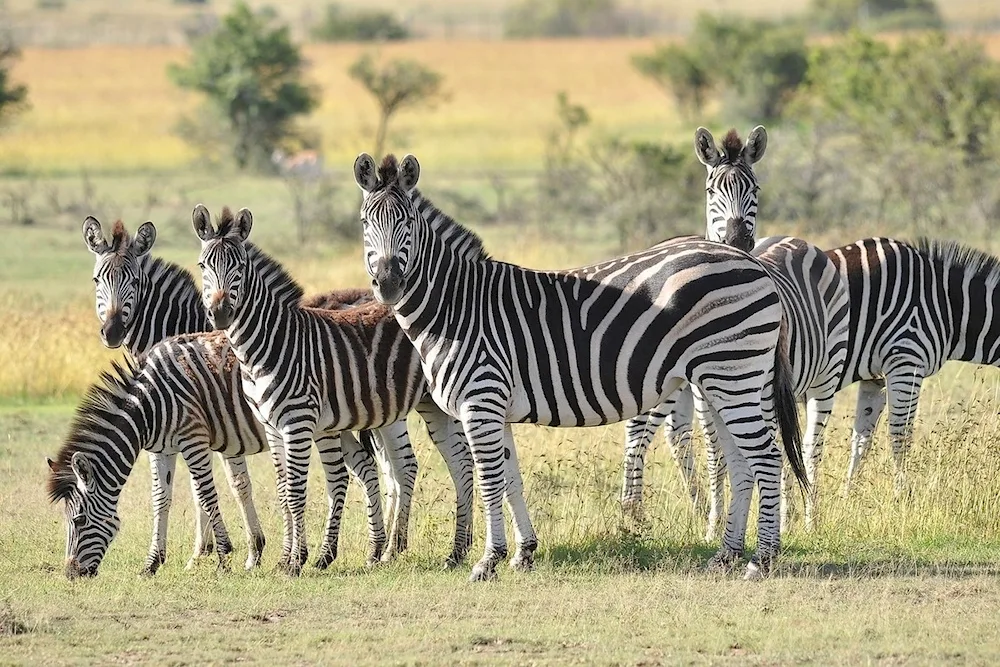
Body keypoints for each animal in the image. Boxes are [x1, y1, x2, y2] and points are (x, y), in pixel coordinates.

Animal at [81, 219, 390, 576]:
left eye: (134, 280)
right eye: (96, 280)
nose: (113, 331)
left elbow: (212, 487)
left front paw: (207, 553)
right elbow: (218, 485)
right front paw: (231, 551)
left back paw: (367, 550)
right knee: (367, 467)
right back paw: (376, 550)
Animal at [191, 206, 480, 576]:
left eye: (240, 266)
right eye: (203, 266)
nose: (220, 314)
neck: (267, 342)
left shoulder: (297, 423)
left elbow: (297, 492)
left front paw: (296, 562)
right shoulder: (272, 427)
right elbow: (283, 491)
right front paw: (285, 557)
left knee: (452, 463)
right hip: (430, 405)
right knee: (458, 462)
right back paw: (453, 550)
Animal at [620, 125, 848, 532]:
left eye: (754, 189)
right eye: (711, 191)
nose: (738, 238)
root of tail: (798, 240)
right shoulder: (703, 392)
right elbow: (717, 453)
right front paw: (715, 524)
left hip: (824, 378)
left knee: (811, 446)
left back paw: (807, 519)